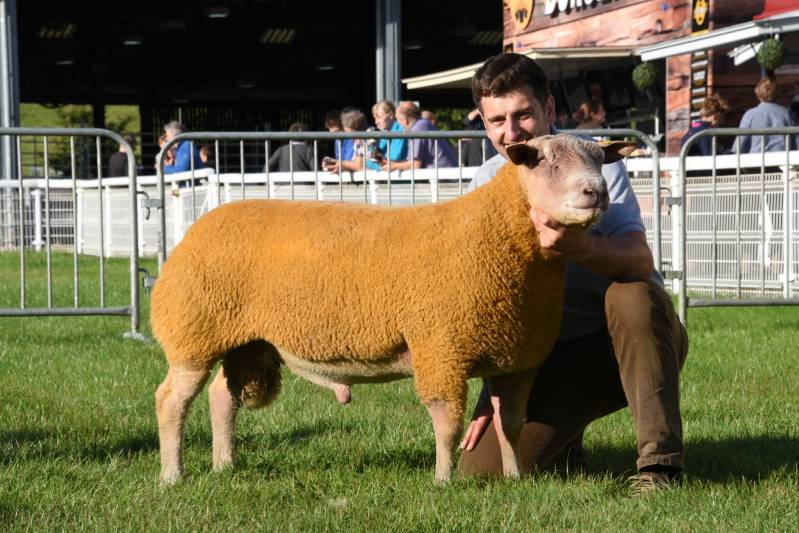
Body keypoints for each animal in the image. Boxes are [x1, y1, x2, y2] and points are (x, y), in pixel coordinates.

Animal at [151, 134, 634, 485]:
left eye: (600, 159)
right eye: (543, 160)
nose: (596, 191)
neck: (496, 237)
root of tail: (197, 228)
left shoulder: (518, 360)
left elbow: (510, 423)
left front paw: (515, 479)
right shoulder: (441, 348)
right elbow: (448, 422)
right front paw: (444, 481)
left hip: (245, 341)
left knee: (222, 398)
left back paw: (224, 465)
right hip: (194, 332)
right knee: (172, 400)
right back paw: (174, 476)